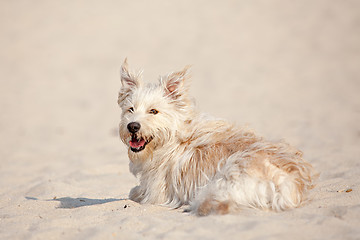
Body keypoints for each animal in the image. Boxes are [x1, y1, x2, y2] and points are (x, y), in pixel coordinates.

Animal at [116, 59, 316, 216]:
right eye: (130, 109)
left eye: (153, 111)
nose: (132, 126)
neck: (174, 137)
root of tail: (289, 184)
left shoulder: (156, 193)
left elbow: (135, 192)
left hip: (221, 181)